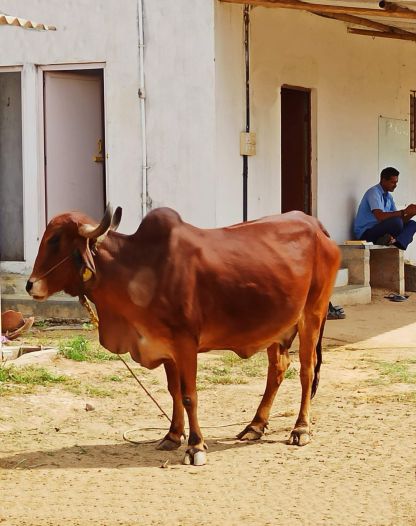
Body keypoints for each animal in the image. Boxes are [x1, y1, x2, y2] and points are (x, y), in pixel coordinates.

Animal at [28, 208, 342, 468]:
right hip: (277, 327)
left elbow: (190, 395)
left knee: (306, 371)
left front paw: (195, 446)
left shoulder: (186, 343)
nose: (31, 285)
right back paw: (255, 426)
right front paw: (171, 435)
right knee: (277, 369)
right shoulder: (164, 346)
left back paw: (301, 428)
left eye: (55, 240)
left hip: (312, 315)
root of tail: (316, 226)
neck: (137, 268)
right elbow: (174, 392)